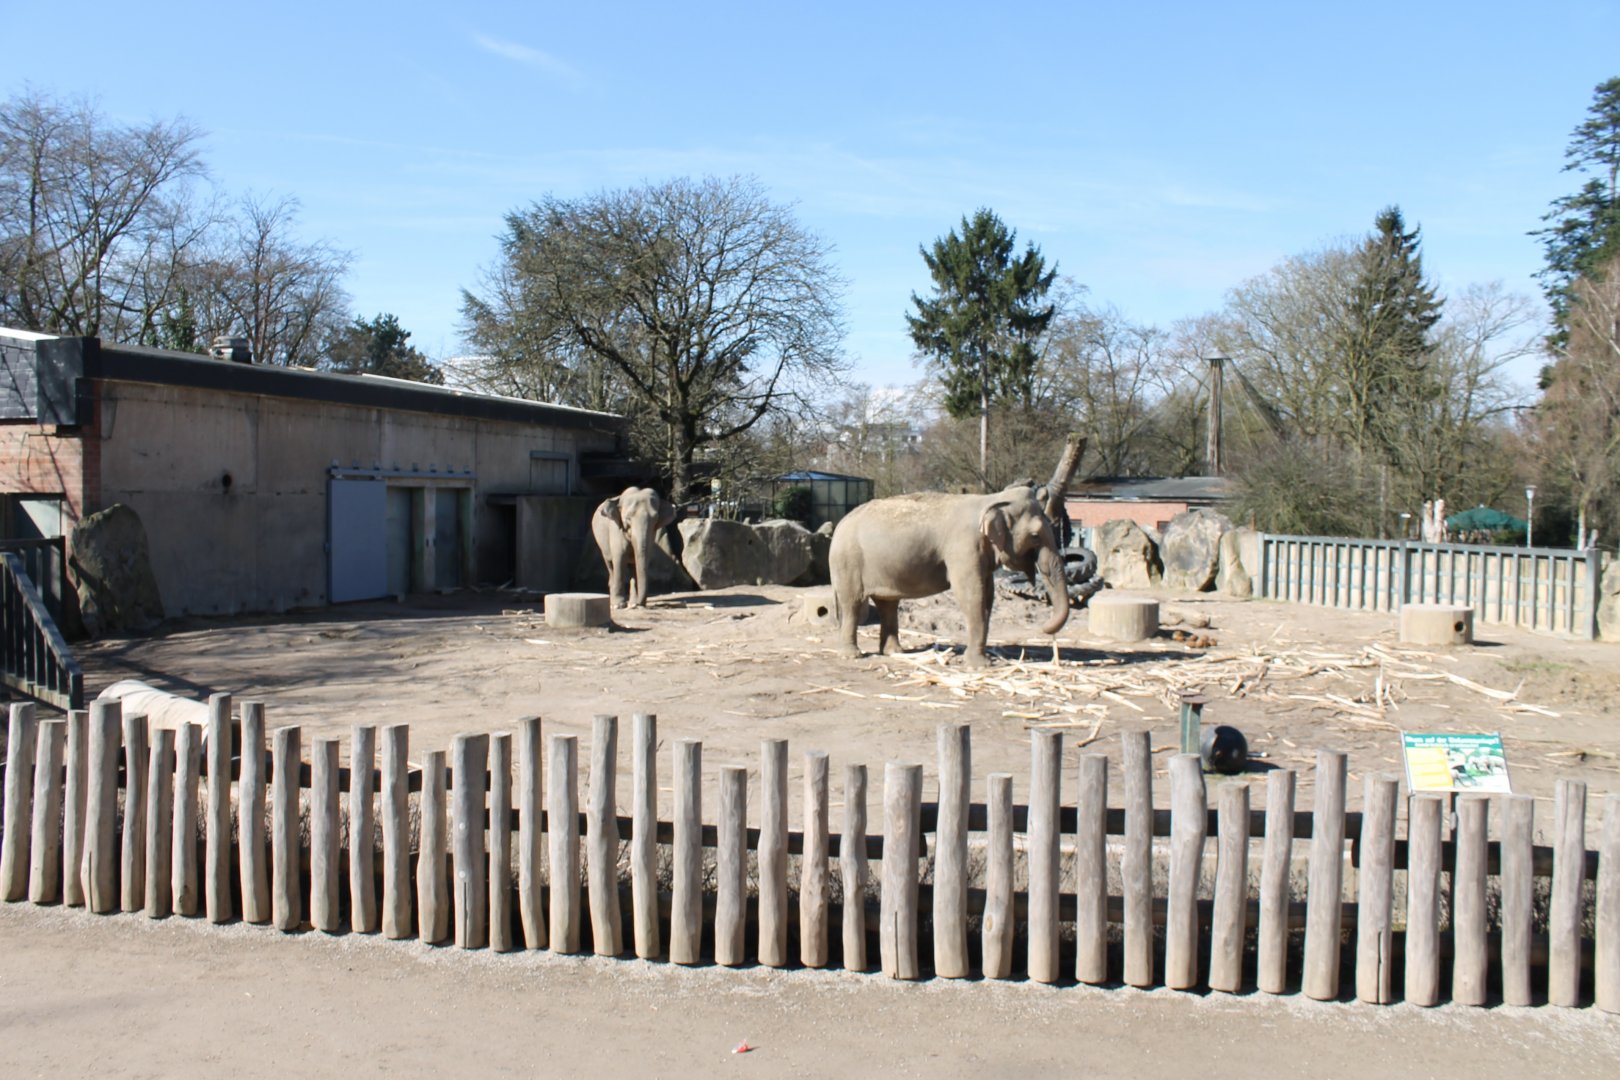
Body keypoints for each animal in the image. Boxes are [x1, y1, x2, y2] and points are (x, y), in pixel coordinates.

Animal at [828, 484, 1071, 667]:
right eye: (1035, 536)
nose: (1044, 628)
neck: (992, 500)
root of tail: (839, 524)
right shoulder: (963, 548)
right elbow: (971, 595)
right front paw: (979, 666)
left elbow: (987, 598)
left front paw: (981, 660)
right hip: (847, 562)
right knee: (852, 603)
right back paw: (852, 655)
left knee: (887, 604)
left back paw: (895, 653)